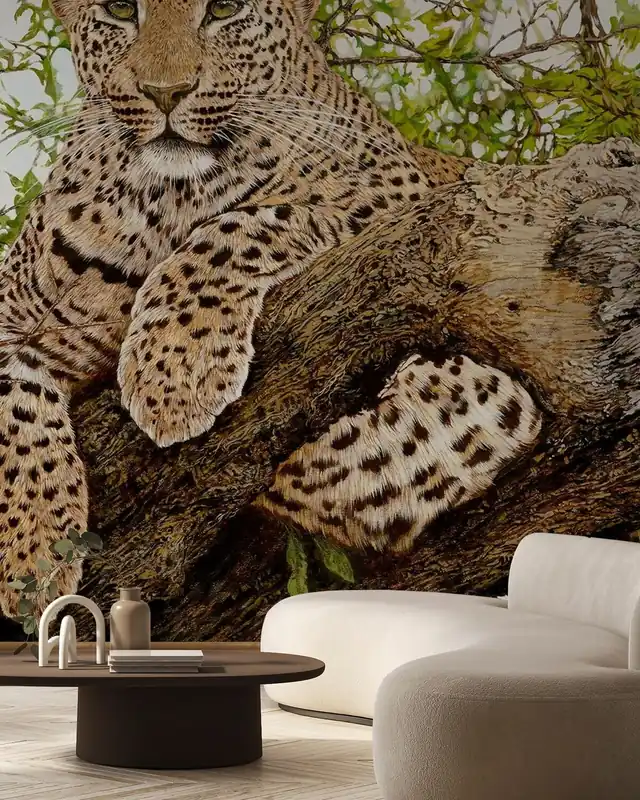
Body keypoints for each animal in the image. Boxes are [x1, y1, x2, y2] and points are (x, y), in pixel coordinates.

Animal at [0, 0, 542, 617]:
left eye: (226, 9)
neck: (167, 200)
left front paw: (174, 374)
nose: (166, 93)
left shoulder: (463, 361)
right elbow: (13, 396)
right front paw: (33, 556)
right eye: (118, 10)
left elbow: (254, 219)